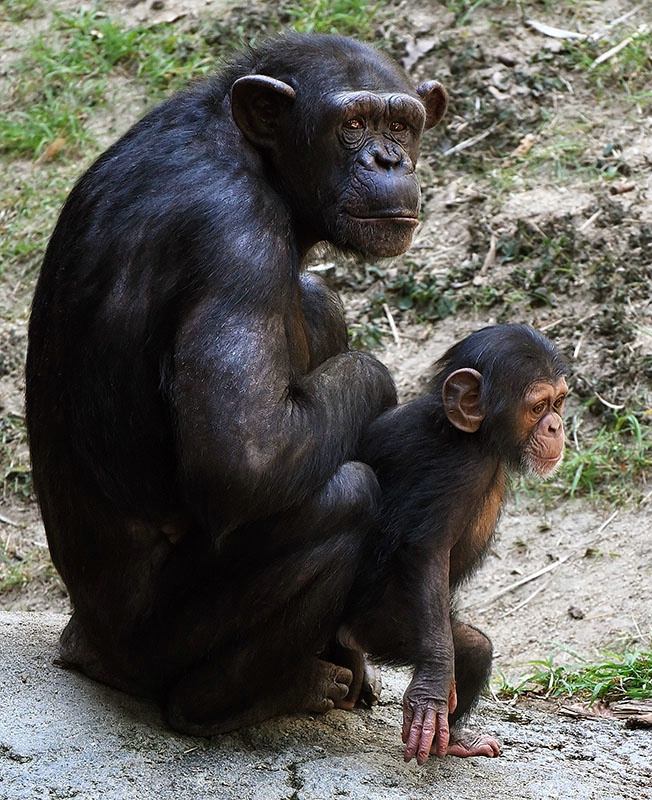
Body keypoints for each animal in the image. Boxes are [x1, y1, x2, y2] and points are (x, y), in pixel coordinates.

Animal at [24, 32, 448, 732]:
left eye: (401, 126)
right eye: (352, 126)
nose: (388, 160)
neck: (258, 158)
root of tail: (88, 646)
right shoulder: (237, 240)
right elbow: (243, 459)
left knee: (313, 301)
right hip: (156, 646)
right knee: (344, 497)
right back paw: (243, 699)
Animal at [344, 324, 568, 764]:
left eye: (559, 401)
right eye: (537, 407)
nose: (555, 426)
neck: (476, 437)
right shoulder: (459, 470)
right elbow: (425, 549)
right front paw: (431, 690)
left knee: (473, 652)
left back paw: (456, 741)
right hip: (387, 623)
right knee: (471, 647)